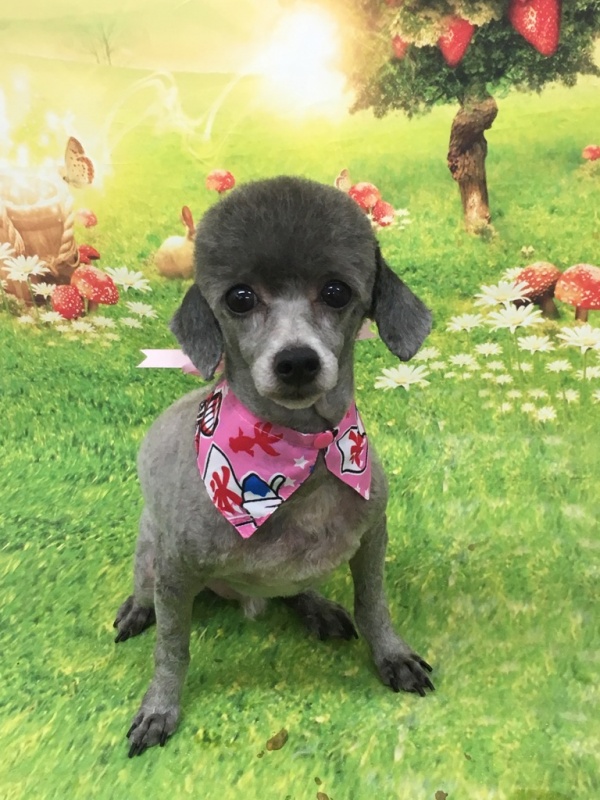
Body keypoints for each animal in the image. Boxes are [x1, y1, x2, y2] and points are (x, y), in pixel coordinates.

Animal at [114, 176, 434, 757]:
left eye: (337, 291)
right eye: (239, 298)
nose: (297, 361)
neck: (305, 455)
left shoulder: (372, 538)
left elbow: (373, 606)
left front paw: (391, 656)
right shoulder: (175, 572)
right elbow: (172, 649)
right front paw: (160, 707)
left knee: (296, 588)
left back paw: (316, 607)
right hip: (149, 551)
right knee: (144, 588)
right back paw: (136, 608)